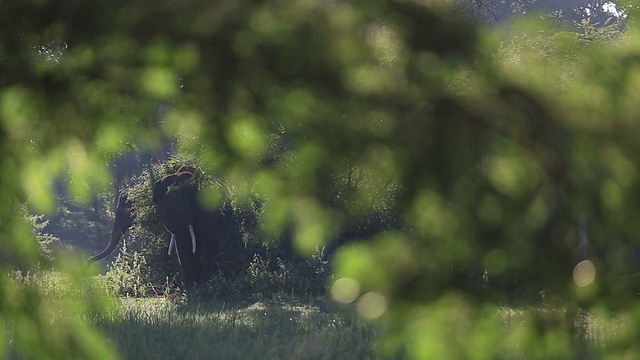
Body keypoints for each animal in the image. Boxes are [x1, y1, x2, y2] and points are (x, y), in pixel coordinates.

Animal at [89, 166, 239, 290]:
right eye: (159, 203)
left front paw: (202, 288)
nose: (88, 261)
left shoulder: (210, 210)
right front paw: (193, 292)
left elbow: (210, 244)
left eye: (182, 201)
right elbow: (183, 247)